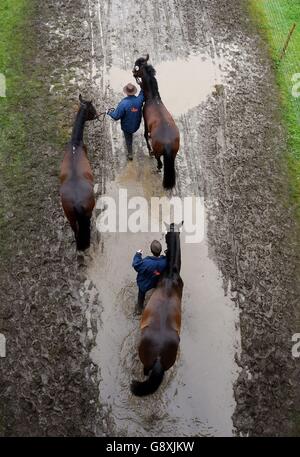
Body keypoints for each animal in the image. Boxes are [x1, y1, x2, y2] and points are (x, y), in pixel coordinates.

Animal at [59, 93, 98, 249]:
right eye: (92, 108)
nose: (96, 115)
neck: (75, 144)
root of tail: (76, 203)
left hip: (71, 218)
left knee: (76, 232)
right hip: (87, 214)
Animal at [132, 54, 179, 189]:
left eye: (137, 66)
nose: (133, 73)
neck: (153, 99)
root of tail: (168, 143)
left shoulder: (145, 121)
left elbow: (145, 135)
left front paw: (149, 149)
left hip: (159, 154)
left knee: (160, 163)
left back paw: (156, 165)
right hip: (174, 154)